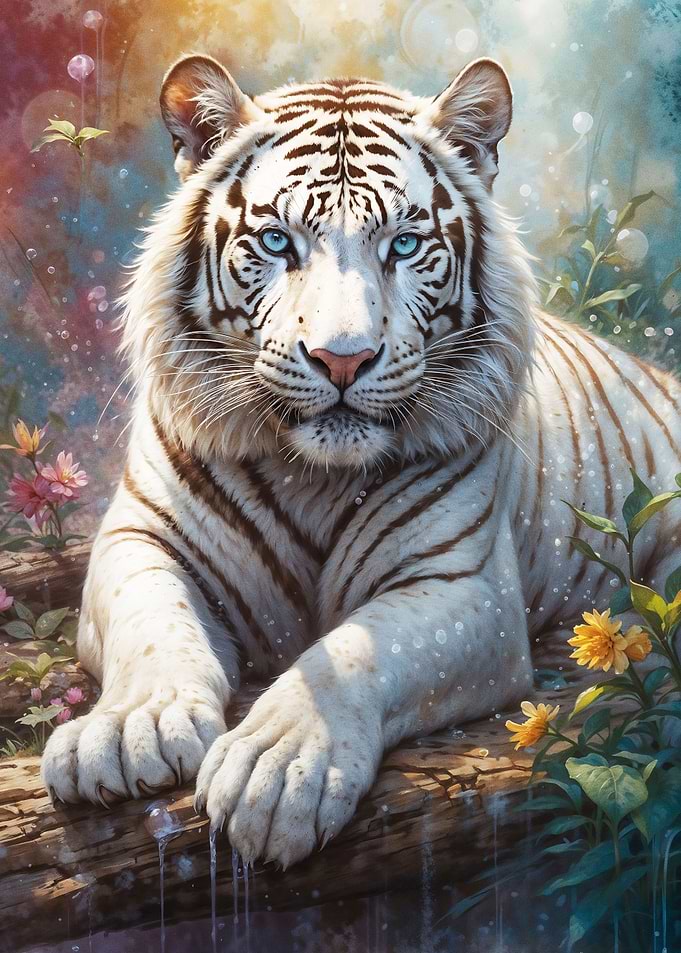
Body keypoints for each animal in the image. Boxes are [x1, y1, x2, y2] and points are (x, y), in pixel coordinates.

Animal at [42, 53, 681, 869]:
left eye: (403, 246)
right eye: (277, 242)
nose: (342, 359)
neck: (311, 474)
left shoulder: (463, 584)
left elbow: (350, 652)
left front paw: (278, 769)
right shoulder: (139, 540)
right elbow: (152, 625)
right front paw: (127, 730)